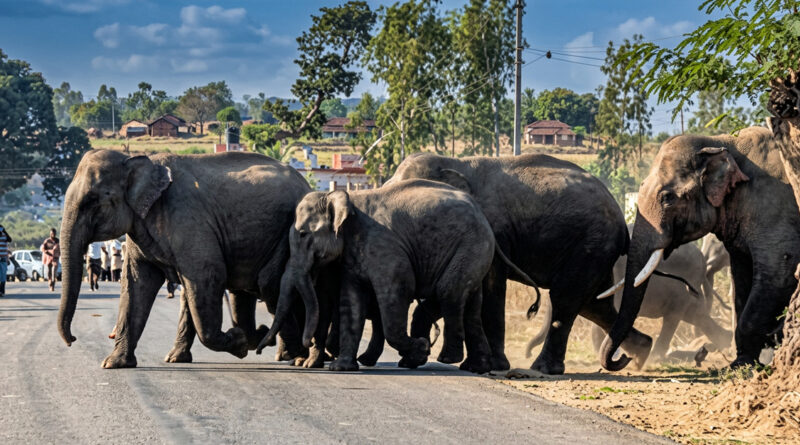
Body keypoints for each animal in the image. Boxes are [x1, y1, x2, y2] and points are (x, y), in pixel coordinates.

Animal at [57, 149, 311, 368]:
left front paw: (239, 343)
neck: (139, 160)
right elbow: (137, 284)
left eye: (91, 200)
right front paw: (114, 364)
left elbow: (206, 276)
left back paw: (291, 354)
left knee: (270, 287)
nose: (72, 339)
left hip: (287, 236)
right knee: (246, 292)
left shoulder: (189, 222)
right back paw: (265, 340)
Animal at [259, 179, 533, 374]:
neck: (347, 200)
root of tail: (482, 215)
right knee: (471, 304)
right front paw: (342, 368)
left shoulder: (385, 250)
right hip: (475, 251)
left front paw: (421, 348)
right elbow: (352, 301)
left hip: (471, 246)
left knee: (449, 291)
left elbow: (396, 294)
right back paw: (474, 367)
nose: (261, 349)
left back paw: (447, 358)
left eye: (303, 234)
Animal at [385, 152, 653, 374]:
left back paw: (544, 369)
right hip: (596, 251)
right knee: (595, 304)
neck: (455, 163)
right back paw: (639, 354)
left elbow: (489, 287)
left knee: (566, 298)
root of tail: (621, 219)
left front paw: (494, 366)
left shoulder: (494, 230)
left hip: (591, 245)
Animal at [599, 127, 800, 371]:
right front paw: (742, 362)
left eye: (667, 198)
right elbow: (741, 275)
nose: (625, 359)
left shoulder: (773, 207)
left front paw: (741, 364)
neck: (721, 142)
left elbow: (781, 269)